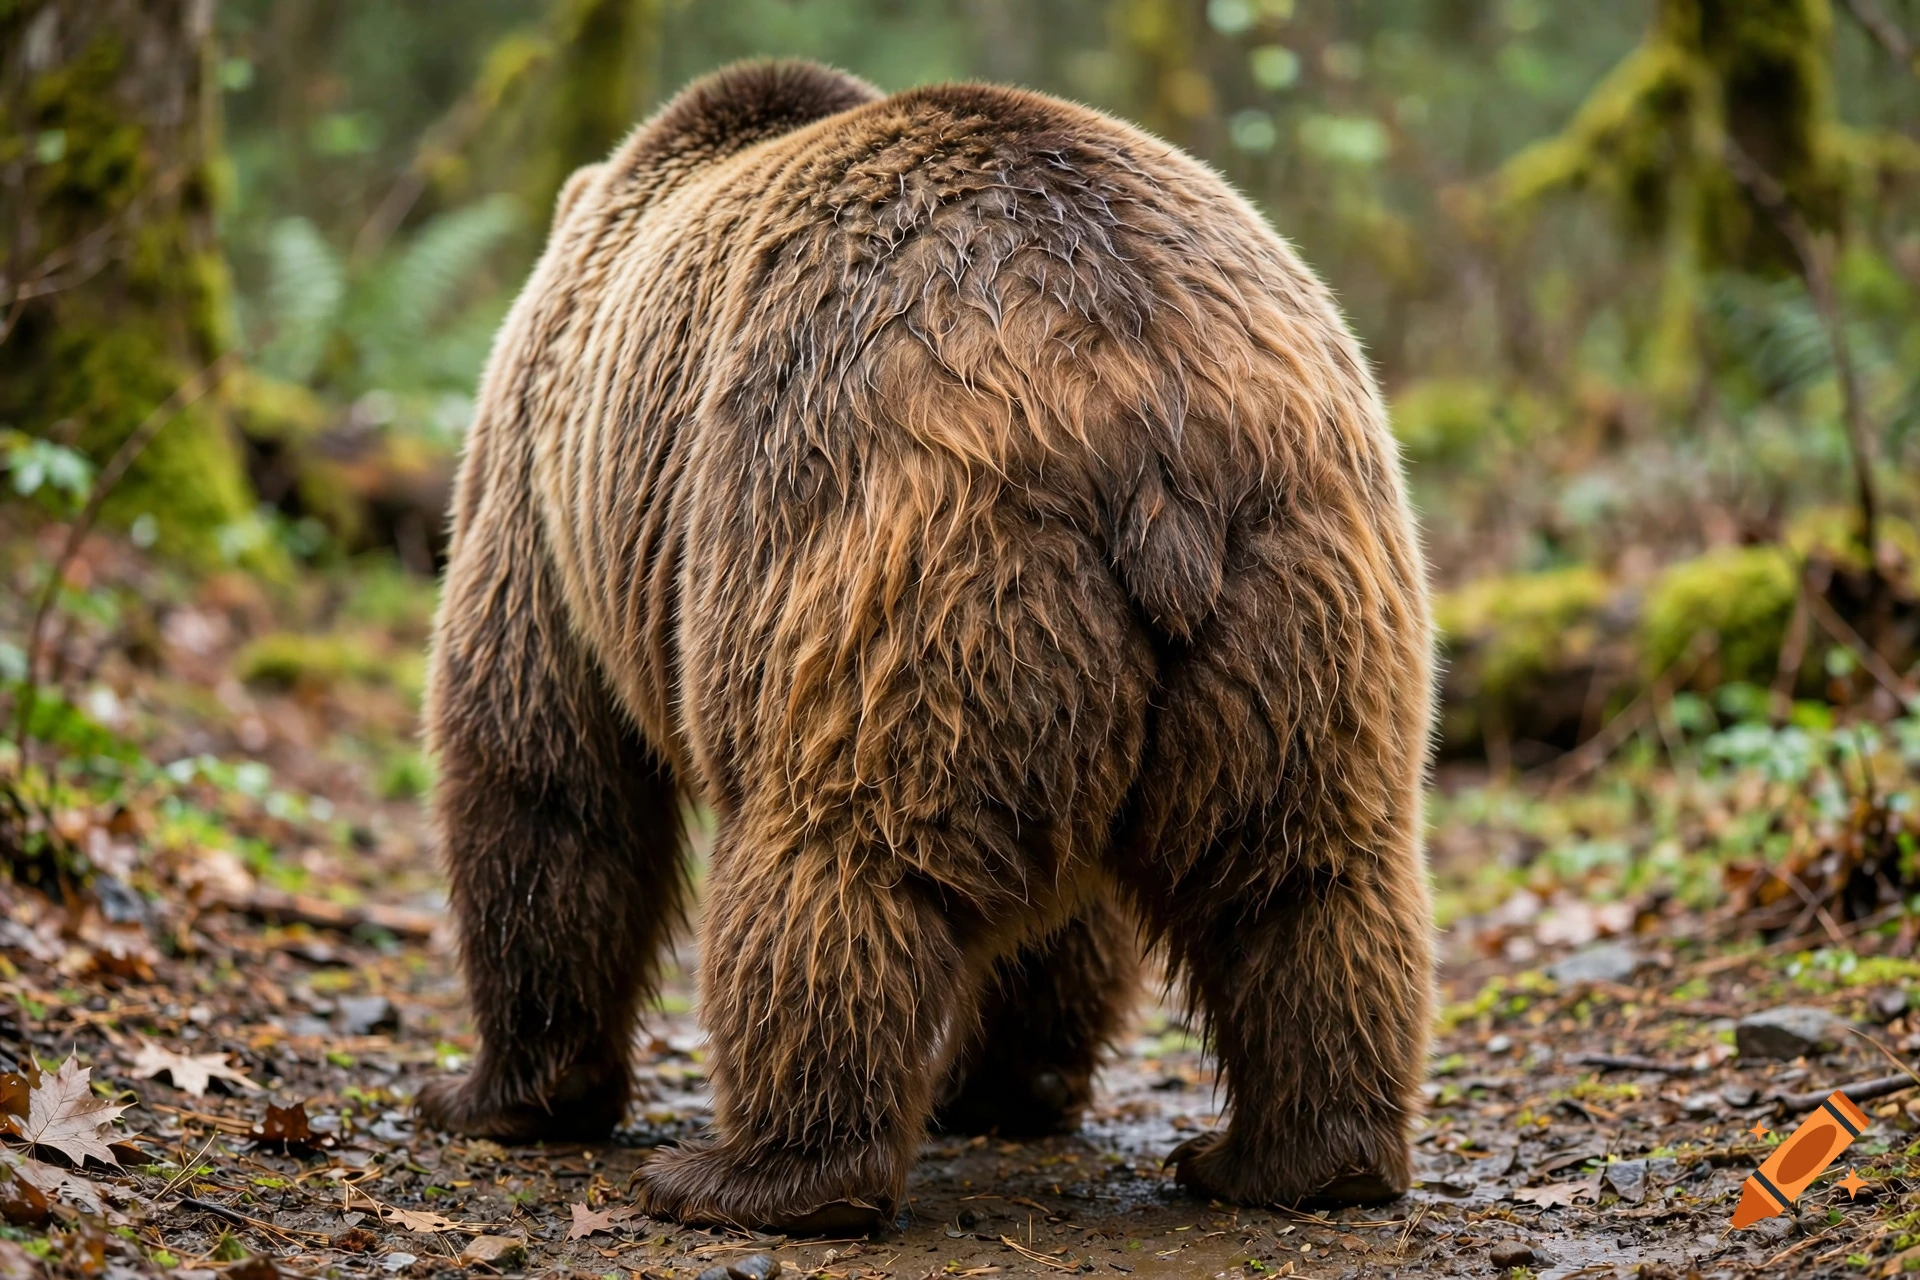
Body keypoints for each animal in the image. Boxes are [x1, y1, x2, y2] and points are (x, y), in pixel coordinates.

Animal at [416, 59, 1435, 1234]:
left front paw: (494, 1093)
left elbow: (544, 766)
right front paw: (1005, 1084)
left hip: (875, 549)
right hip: (1296, 580)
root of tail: (1143, 408)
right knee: (1301, 869)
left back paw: (756, 1174)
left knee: (842, 855)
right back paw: (1294, 1156)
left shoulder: (541, 485)